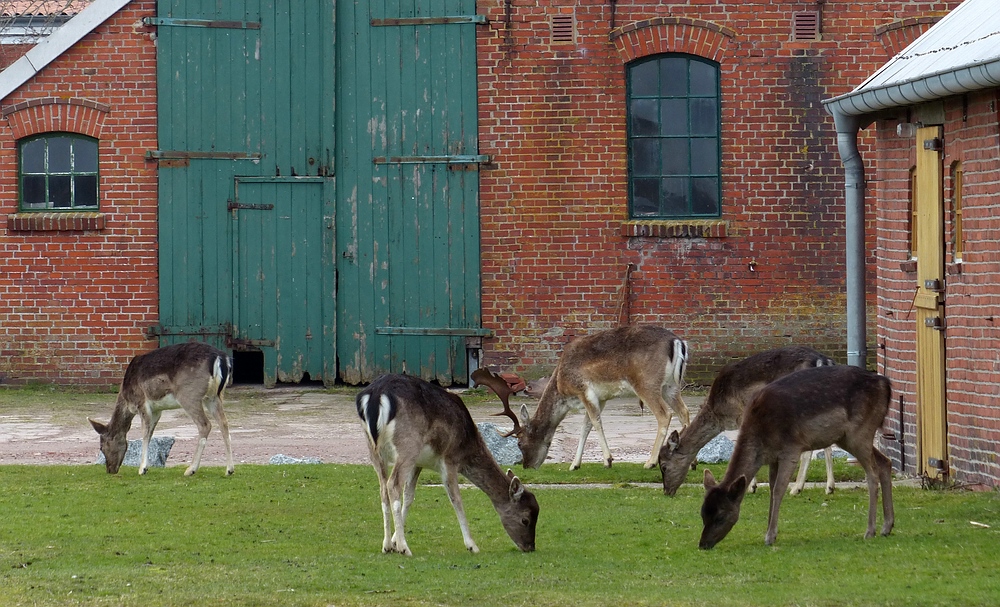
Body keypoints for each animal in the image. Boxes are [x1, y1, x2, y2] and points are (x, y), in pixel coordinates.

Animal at [89, 342, 234, 476]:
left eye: (101, 447)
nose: (110, 470)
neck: (126, 399)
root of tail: (220, 358)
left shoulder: (142, 403)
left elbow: (145, 433)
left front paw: (142, 469)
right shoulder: (157, 410)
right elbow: (151, 433)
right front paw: (145, 466)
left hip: (189, 395)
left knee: (205, 424)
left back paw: (190, 470)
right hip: (214, 396)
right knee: (224, 423)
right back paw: (229, 469)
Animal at [356, 370, 536, 556]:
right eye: (525, 519)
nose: (530, 547)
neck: (467, 445)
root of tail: (376, 395)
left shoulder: (418, 463)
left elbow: (409, 496)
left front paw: (393, 541)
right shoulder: (449, 458)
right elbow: (456, 499)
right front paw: (472, 545)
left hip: (375, 450)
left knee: (383, 489)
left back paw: (386, 546)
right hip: (407, 445)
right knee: (393, 484)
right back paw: (405, 548)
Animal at [468, 328, 688, 470]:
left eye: (520, 444)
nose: (527, 466)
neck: (560, 383)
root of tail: (678, 342)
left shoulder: (584, 391)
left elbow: (595, 422)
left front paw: (608, 460)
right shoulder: (601, 397)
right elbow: (585, 426)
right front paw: (575, 465)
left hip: (646, 383)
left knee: (665, 414)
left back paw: (650, 462)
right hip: (671, 386)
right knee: (684, 412)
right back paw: (688, 459)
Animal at [656, 346, 836, 498]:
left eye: (664, 466)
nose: (666, 491)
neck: (719, 414)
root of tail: (823, 361)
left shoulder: (743, 415)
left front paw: (750, 487)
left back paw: (797, 488)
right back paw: (828, 487)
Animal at [700, 366, 896, 552]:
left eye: (720, 516)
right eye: (702, 513)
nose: (703, 544)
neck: (762, 436)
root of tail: (886, 384)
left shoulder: (791, 449)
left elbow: (779, 489)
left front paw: (770, 537)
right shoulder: (773, 458)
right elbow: (771, 489)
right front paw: (769, 532)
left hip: (860, 431)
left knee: (872, 473)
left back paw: (870, 531)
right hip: (847, 438)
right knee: (885, 462)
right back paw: (887, 527)